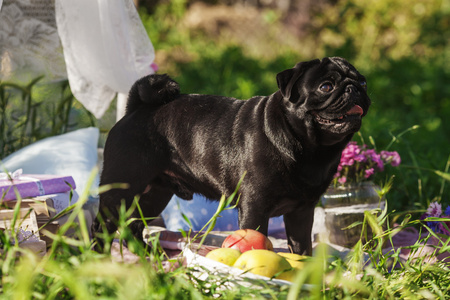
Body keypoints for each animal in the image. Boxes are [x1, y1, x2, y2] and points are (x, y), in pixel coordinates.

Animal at [91, 57, 370, 254]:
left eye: (363, 82)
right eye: (326, 86)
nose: (354, 89)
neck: (312, 149)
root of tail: (136, 108)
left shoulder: (301, 212)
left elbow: (301, 247)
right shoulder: (254, 207)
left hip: (154, 195)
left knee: (133, 225)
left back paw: (148, 254)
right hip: (120, 190)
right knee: (102, 226)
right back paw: (98, 258)